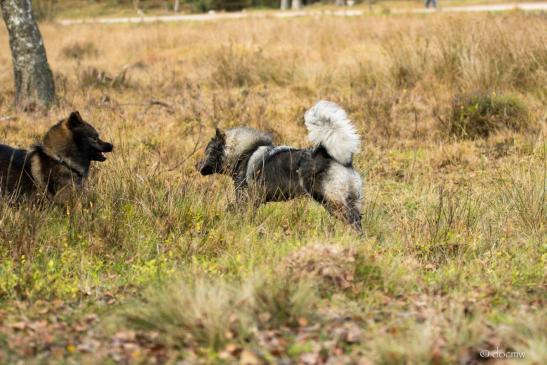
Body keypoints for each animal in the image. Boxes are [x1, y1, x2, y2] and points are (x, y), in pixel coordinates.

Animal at [198, 100, 364, 230]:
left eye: (208, 152)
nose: (196, 166)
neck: (244, 152)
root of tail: (331, 155)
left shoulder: (245, 199)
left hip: (329, 200)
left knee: (352, 220)